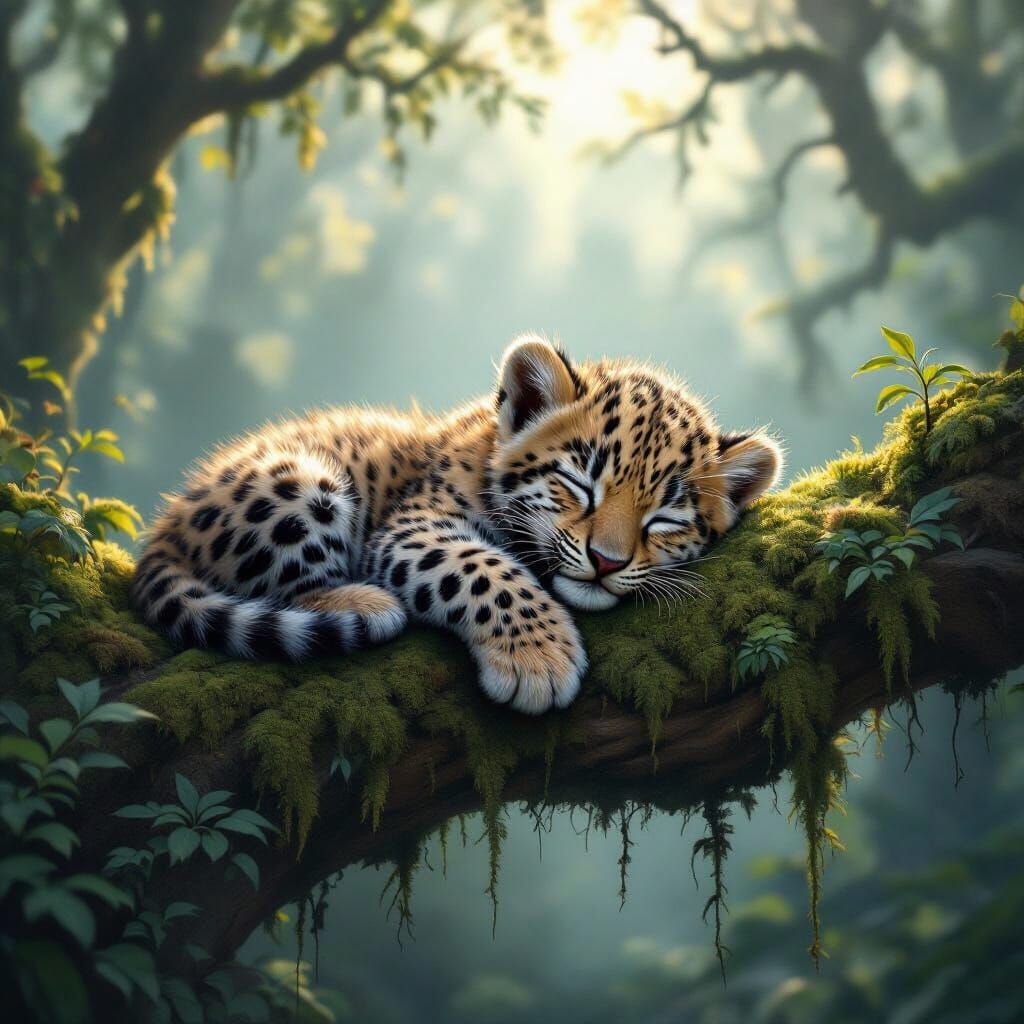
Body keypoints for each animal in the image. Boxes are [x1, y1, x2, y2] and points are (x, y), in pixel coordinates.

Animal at [134, 335, 782, 713]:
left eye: (664, 518)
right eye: (580, 484)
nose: (606, 562)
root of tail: (169, 523)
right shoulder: (414, 526)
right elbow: (484, 570)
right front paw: (537, 661)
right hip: (299, 485)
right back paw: (365, 603)